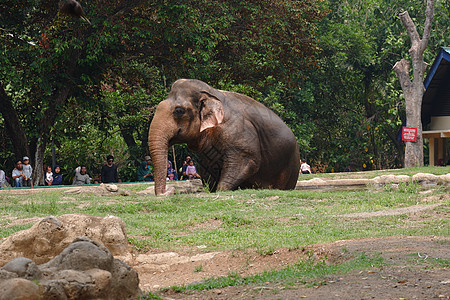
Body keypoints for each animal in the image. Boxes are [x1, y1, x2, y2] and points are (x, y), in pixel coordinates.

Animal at [148, 79, 300, 195]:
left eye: (179, 111)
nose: (169, 191)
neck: (213, 93)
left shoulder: (239, 130)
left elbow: (248, 160)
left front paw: (221, 190)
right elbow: (206, 167)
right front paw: (211, 190)